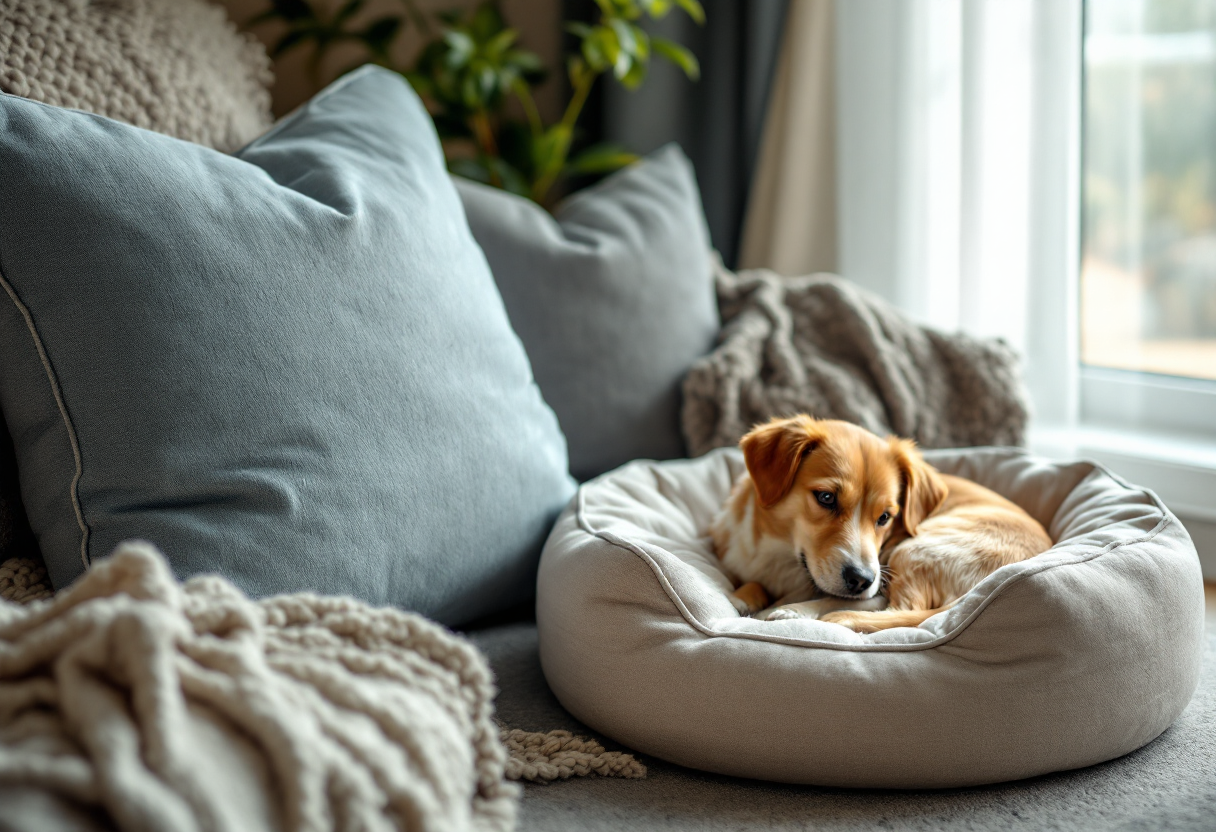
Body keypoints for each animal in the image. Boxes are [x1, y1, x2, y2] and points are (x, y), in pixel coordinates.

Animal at [710, 416, 1055, 632]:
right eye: (826, 498)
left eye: (885, 517)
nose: (861, 580)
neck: (779, 555)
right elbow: (750, 584)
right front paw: (741, 596)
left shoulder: (873, 581)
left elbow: (843, 597)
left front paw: (789, 608)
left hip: (916, 550)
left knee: (896, 608)